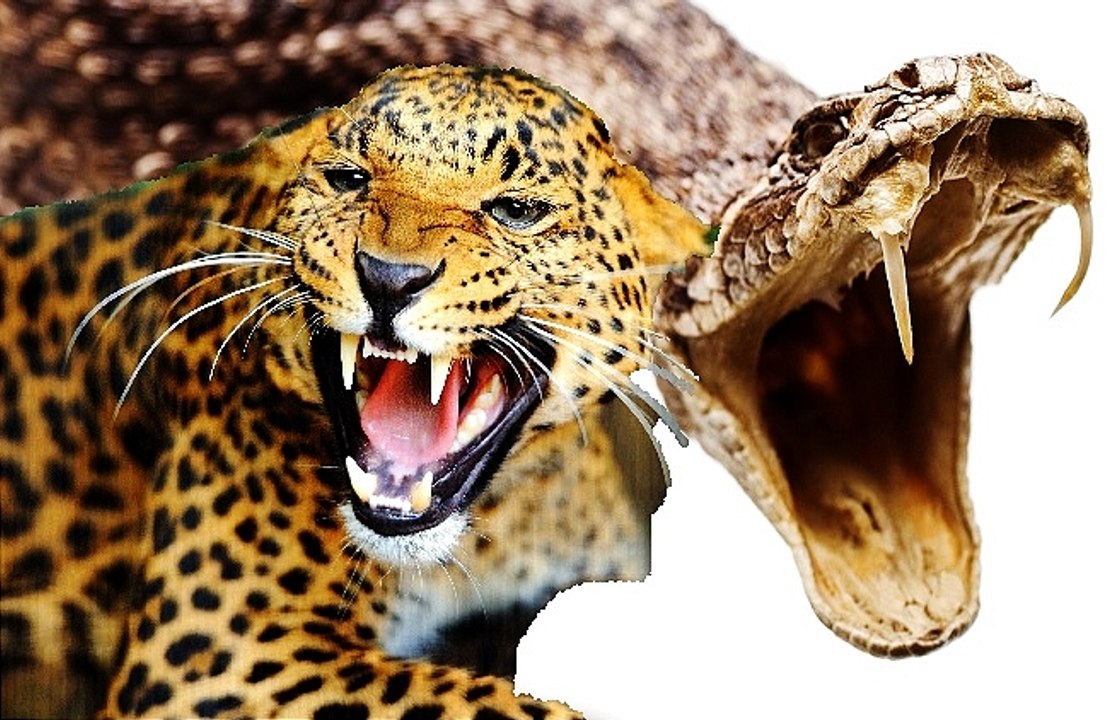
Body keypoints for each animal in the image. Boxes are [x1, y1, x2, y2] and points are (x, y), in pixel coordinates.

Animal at [0, 64, 707, 719]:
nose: (389, 277)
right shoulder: (216, 656)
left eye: (517, 210)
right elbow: (488, 704)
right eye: (348, 179)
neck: (492, 529)